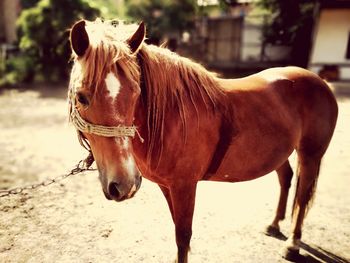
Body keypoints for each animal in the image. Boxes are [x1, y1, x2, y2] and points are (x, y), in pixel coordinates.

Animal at [67, 20, 338, 263]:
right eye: (81, 97)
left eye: (136, 92)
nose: (124, 185)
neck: (172, 115)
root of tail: (321, 82)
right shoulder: (168, 187)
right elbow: (177, 229)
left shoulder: (185, 186)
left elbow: (183, 235)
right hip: (279, 152)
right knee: (286, 178)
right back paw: (273, 225)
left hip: (310, 155)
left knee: (302, 196)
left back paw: (292, 244)